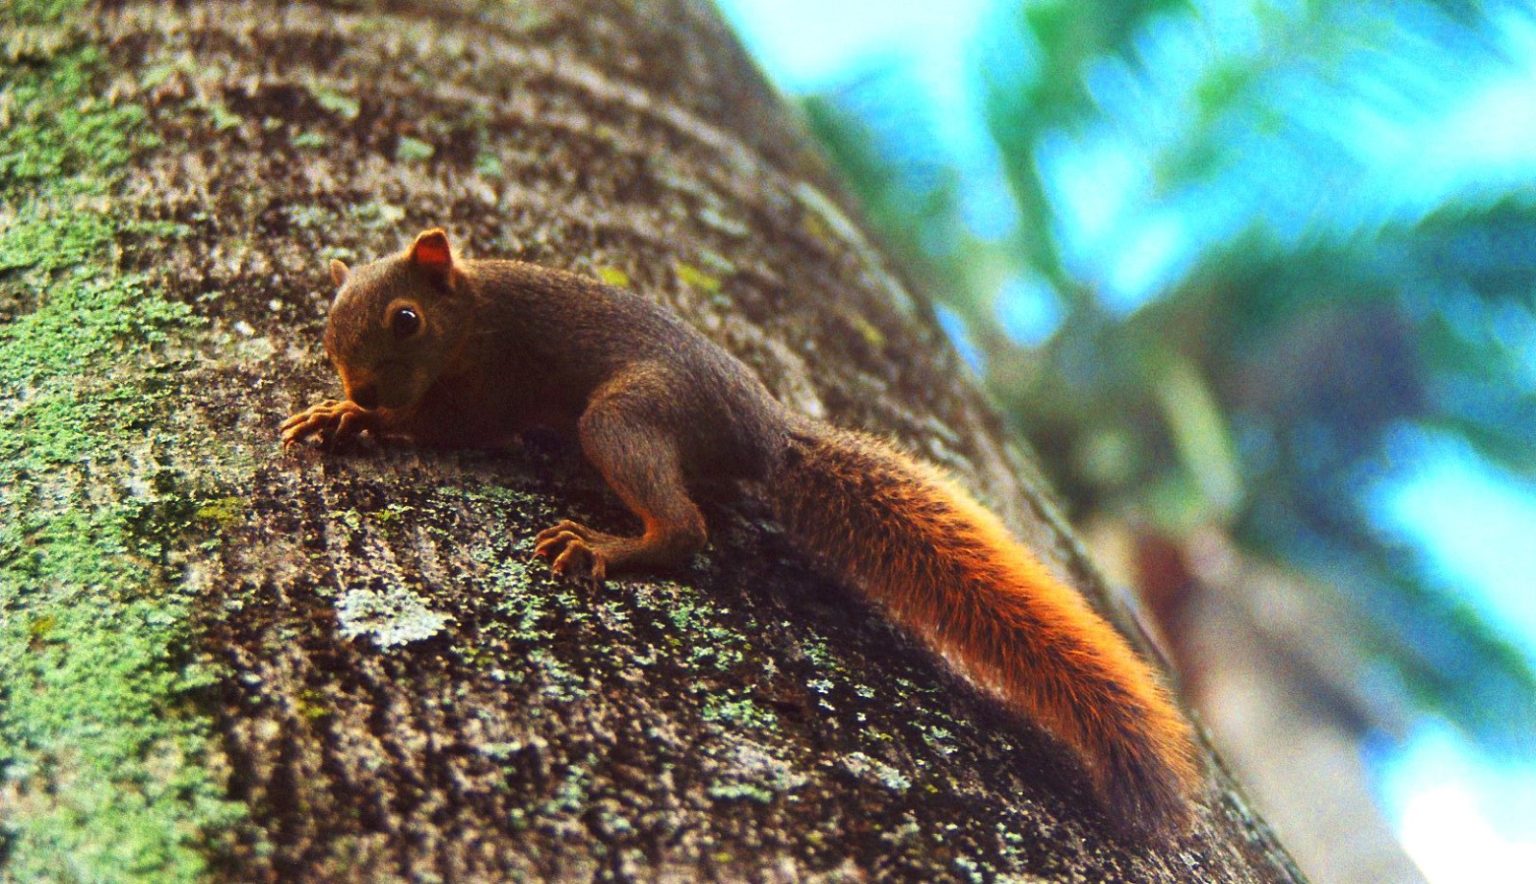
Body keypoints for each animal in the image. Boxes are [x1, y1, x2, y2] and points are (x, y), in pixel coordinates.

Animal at [285, 231, 1198, 841]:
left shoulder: (494, 378)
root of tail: (766, 433)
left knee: (685, 527)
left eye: (406, 319)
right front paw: (343, 414)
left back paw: (613, 546)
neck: (470, 306)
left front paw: (359, 421)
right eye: (326, 328)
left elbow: (458, 428)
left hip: (628, 415)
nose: (363, 388)